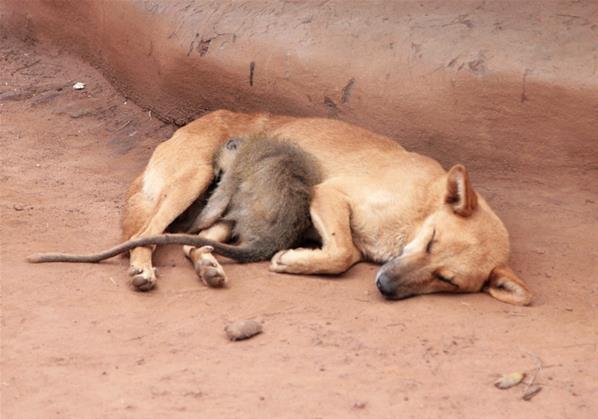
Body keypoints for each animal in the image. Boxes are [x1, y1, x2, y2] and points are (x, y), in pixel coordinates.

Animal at [191, 135, 324, 262]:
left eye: (220, 173)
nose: (217, 180)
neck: (246, 145)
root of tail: (275, 238)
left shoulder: (236, 167)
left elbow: (216, 207)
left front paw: (191, 228)